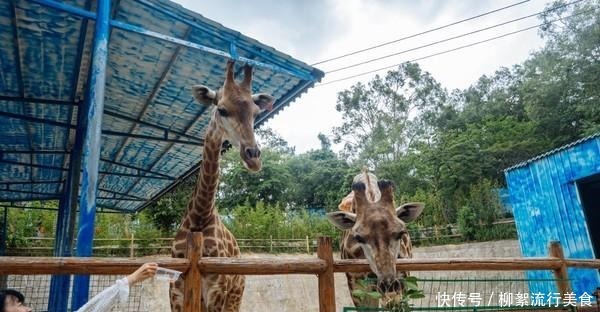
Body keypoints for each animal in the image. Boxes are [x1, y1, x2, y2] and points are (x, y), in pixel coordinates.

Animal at [170, 60, 276, 312]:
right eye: (222, 109)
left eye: (256, 113)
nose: (254, 158)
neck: (198, 217)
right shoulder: (175, 293)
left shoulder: (217, 291)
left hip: (235, 295)